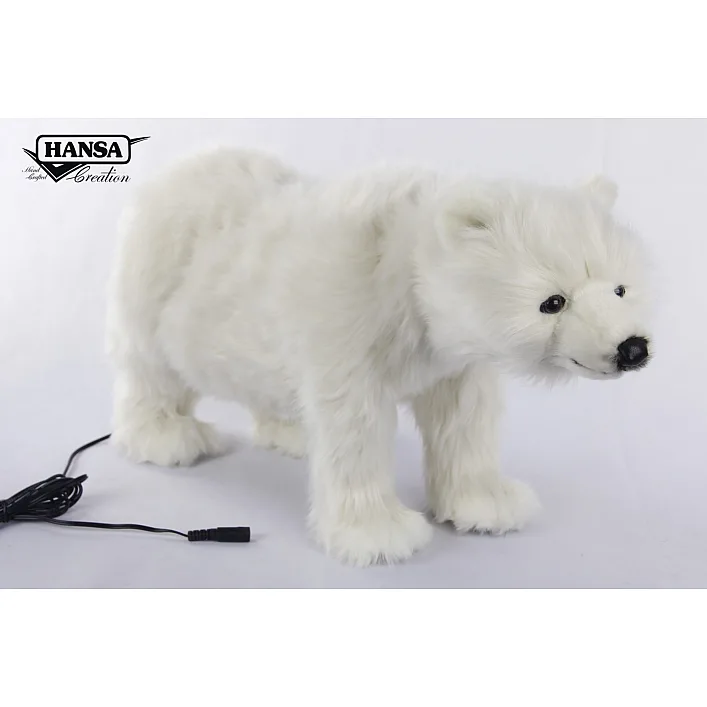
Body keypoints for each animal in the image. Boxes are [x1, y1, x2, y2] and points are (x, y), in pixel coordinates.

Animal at [106, 149, 653, 566]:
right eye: (552, 301)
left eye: (620, 287)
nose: (632, 348)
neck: (400, 268)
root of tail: (178, 167)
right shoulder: (347, 321)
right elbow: (355, 426)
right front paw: (379, 535)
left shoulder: (452, 358)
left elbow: (464, 420)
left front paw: (489, 505)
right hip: (157, 277)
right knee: (152, 368)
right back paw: (170, 438)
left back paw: (289, 431)